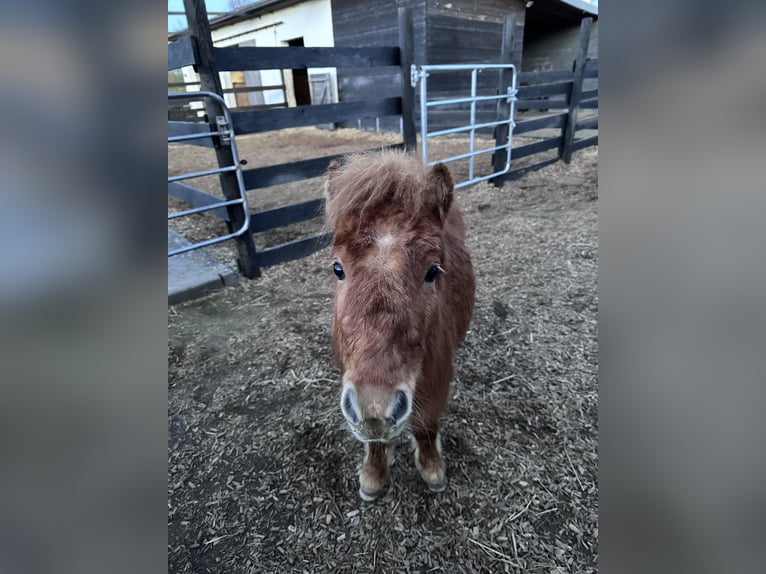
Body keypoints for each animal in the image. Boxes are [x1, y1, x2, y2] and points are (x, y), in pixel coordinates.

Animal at [324, 150, 475, 501]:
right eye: (338, 269)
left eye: (432, 271)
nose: (375, 407)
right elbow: (375, 442)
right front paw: (373, 473)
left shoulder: (437, 381)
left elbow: (426, 426)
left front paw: (432, 469)